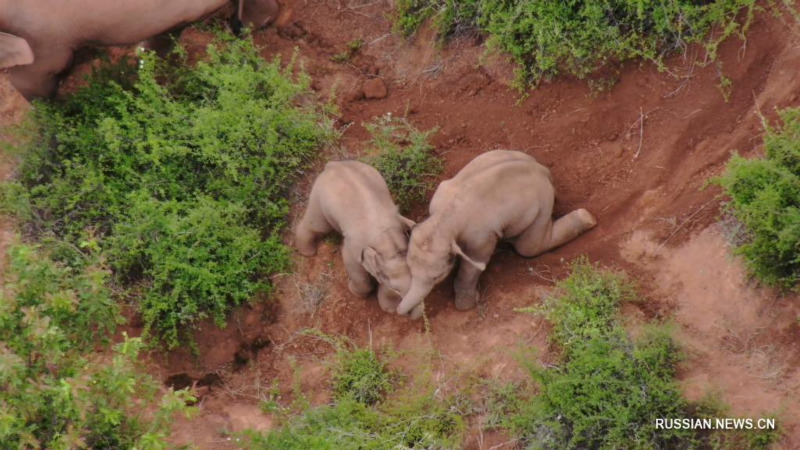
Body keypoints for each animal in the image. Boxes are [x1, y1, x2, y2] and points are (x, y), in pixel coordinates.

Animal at [294, 161, 424, 316]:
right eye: (396, 289)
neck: (387, 241)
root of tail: (333, 164)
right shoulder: (354, 248)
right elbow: (354, 266)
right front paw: (353, 291)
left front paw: (389, 308)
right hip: (319, 196)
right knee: (317, 224)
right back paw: (307, 252)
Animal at [396, 150, 596, 316]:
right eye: (409, 269)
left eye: (436, 277)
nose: (398, 311)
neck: (444, 219)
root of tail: (543, 169)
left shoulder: (481, 236)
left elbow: (474, 264)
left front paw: (465, 305)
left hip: (543, 202)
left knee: (529, 247)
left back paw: (587, 218)